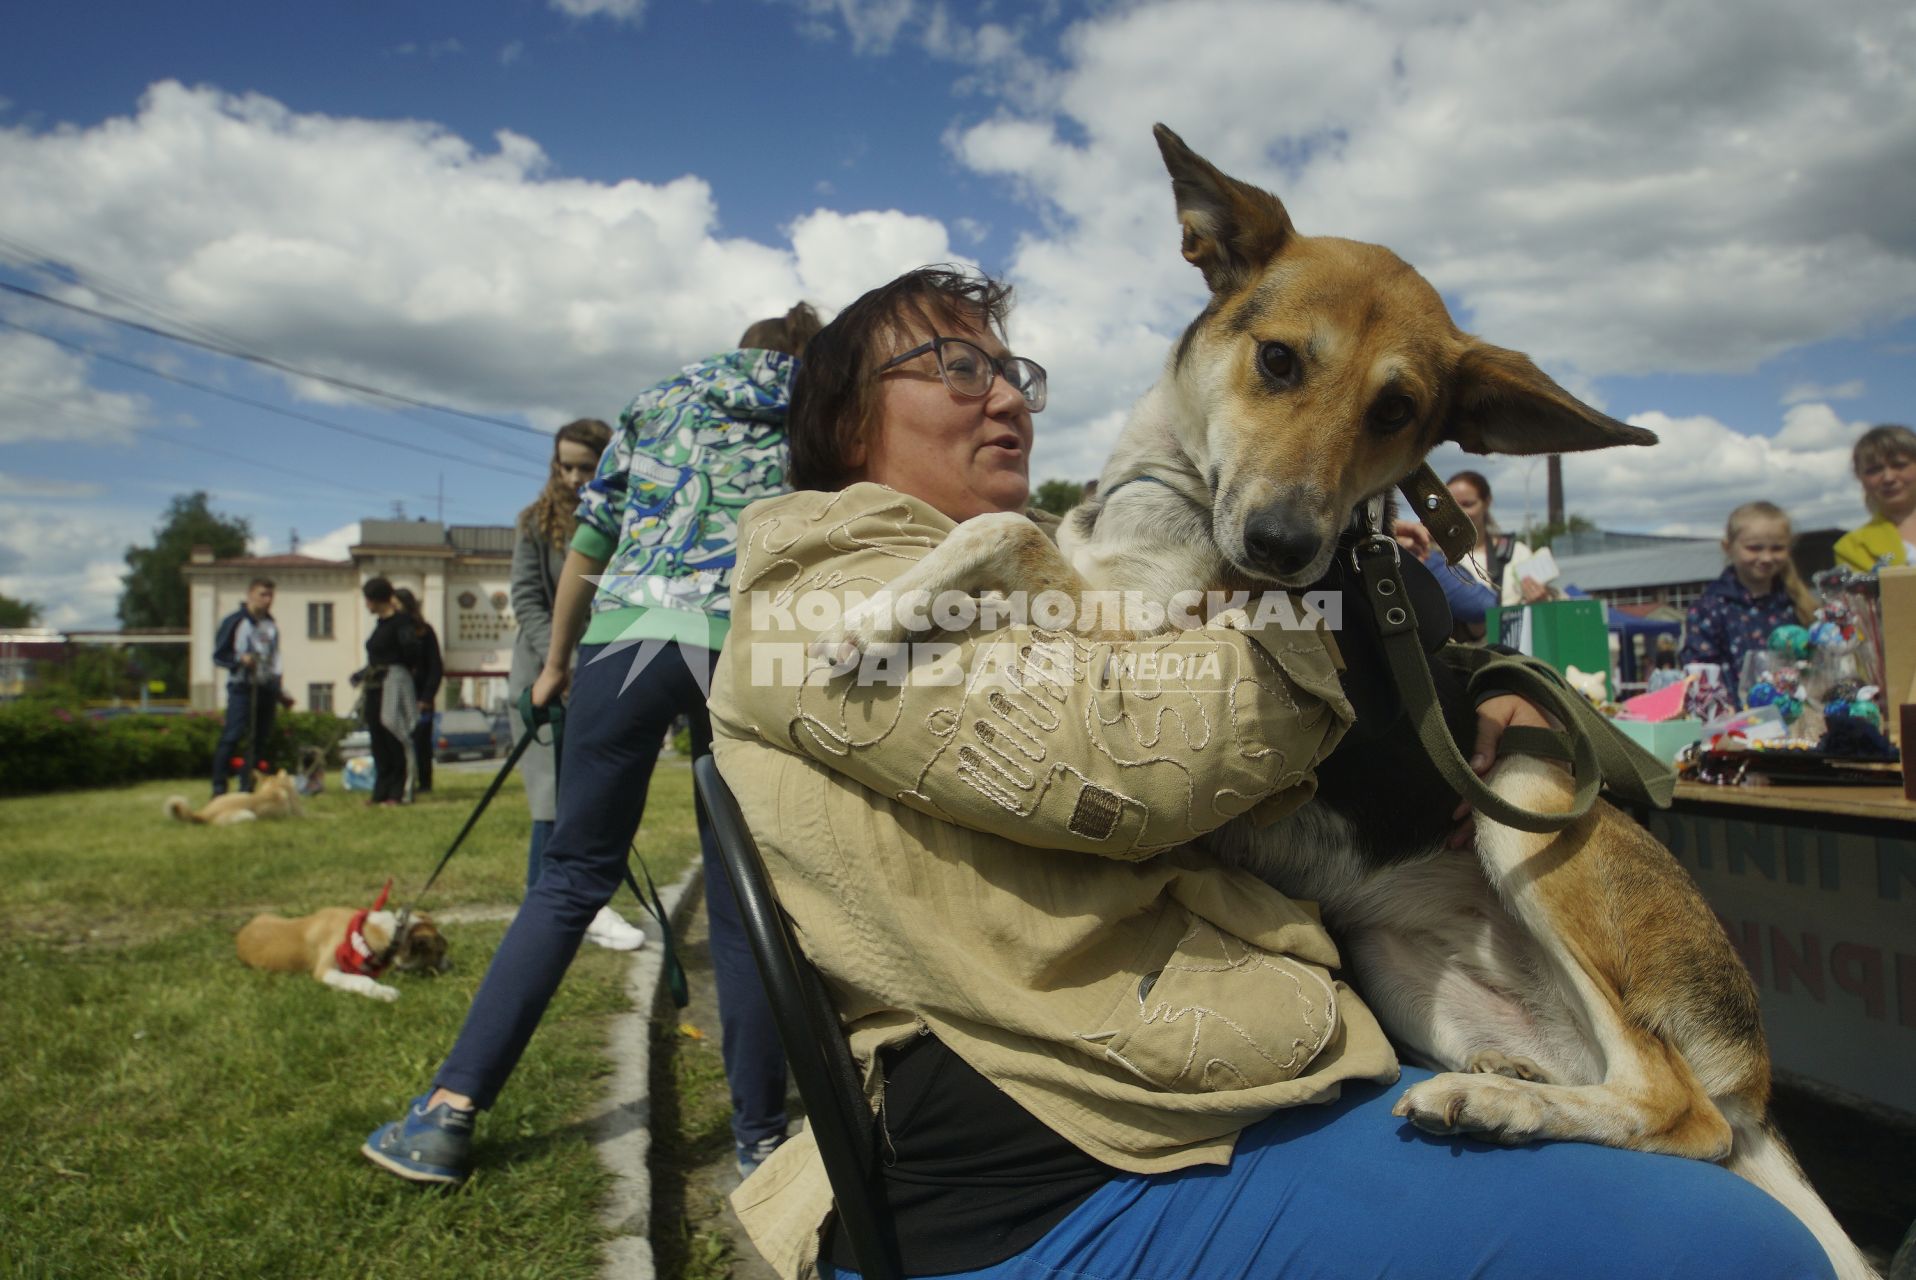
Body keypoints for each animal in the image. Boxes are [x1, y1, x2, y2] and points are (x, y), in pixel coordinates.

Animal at [235, 881, 448, 996]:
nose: (451, 965)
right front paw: (386, 992)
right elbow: (362, 980)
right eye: (440, 952)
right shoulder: (325, 970)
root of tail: (241, 934)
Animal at [823, 124, 1870, 1272]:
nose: (1283, 548)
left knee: (1677, 1108)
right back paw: (1504, 1090)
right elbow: (1018, 526)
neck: (1171, 507)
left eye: (1398, 411)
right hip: (1407, 968)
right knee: (1625, 1084)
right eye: (1278, 359)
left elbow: (1003, 526)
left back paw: (1499, 1107)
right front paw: (891, 599)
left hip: (1528, 791)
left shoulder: (1145, 646)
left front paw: (874, 614)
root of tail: (1754, 1081)